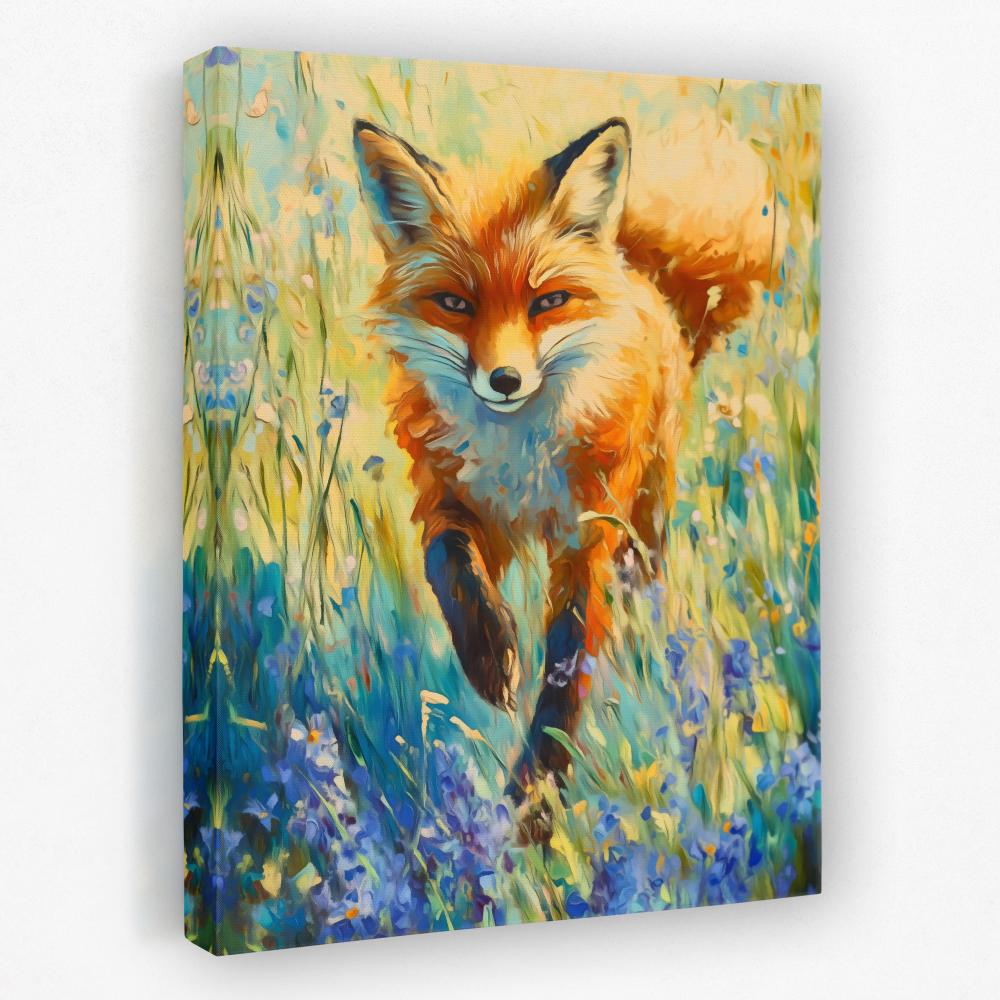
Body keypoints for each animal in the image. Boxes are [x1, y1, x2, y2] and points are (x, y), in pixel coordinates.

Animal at [353, 112, 784, 805]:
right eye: (456, 304)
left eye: (547, 302)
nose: (503, 379)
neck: (519, 453)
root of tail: (639, 273)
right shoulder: (450, 497)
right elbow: (448, 565)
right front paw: (489, 654)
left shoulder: (590, 535)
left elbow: (567, 665)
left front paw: (535, 800)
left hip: (645, 514)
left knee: (645, 588)